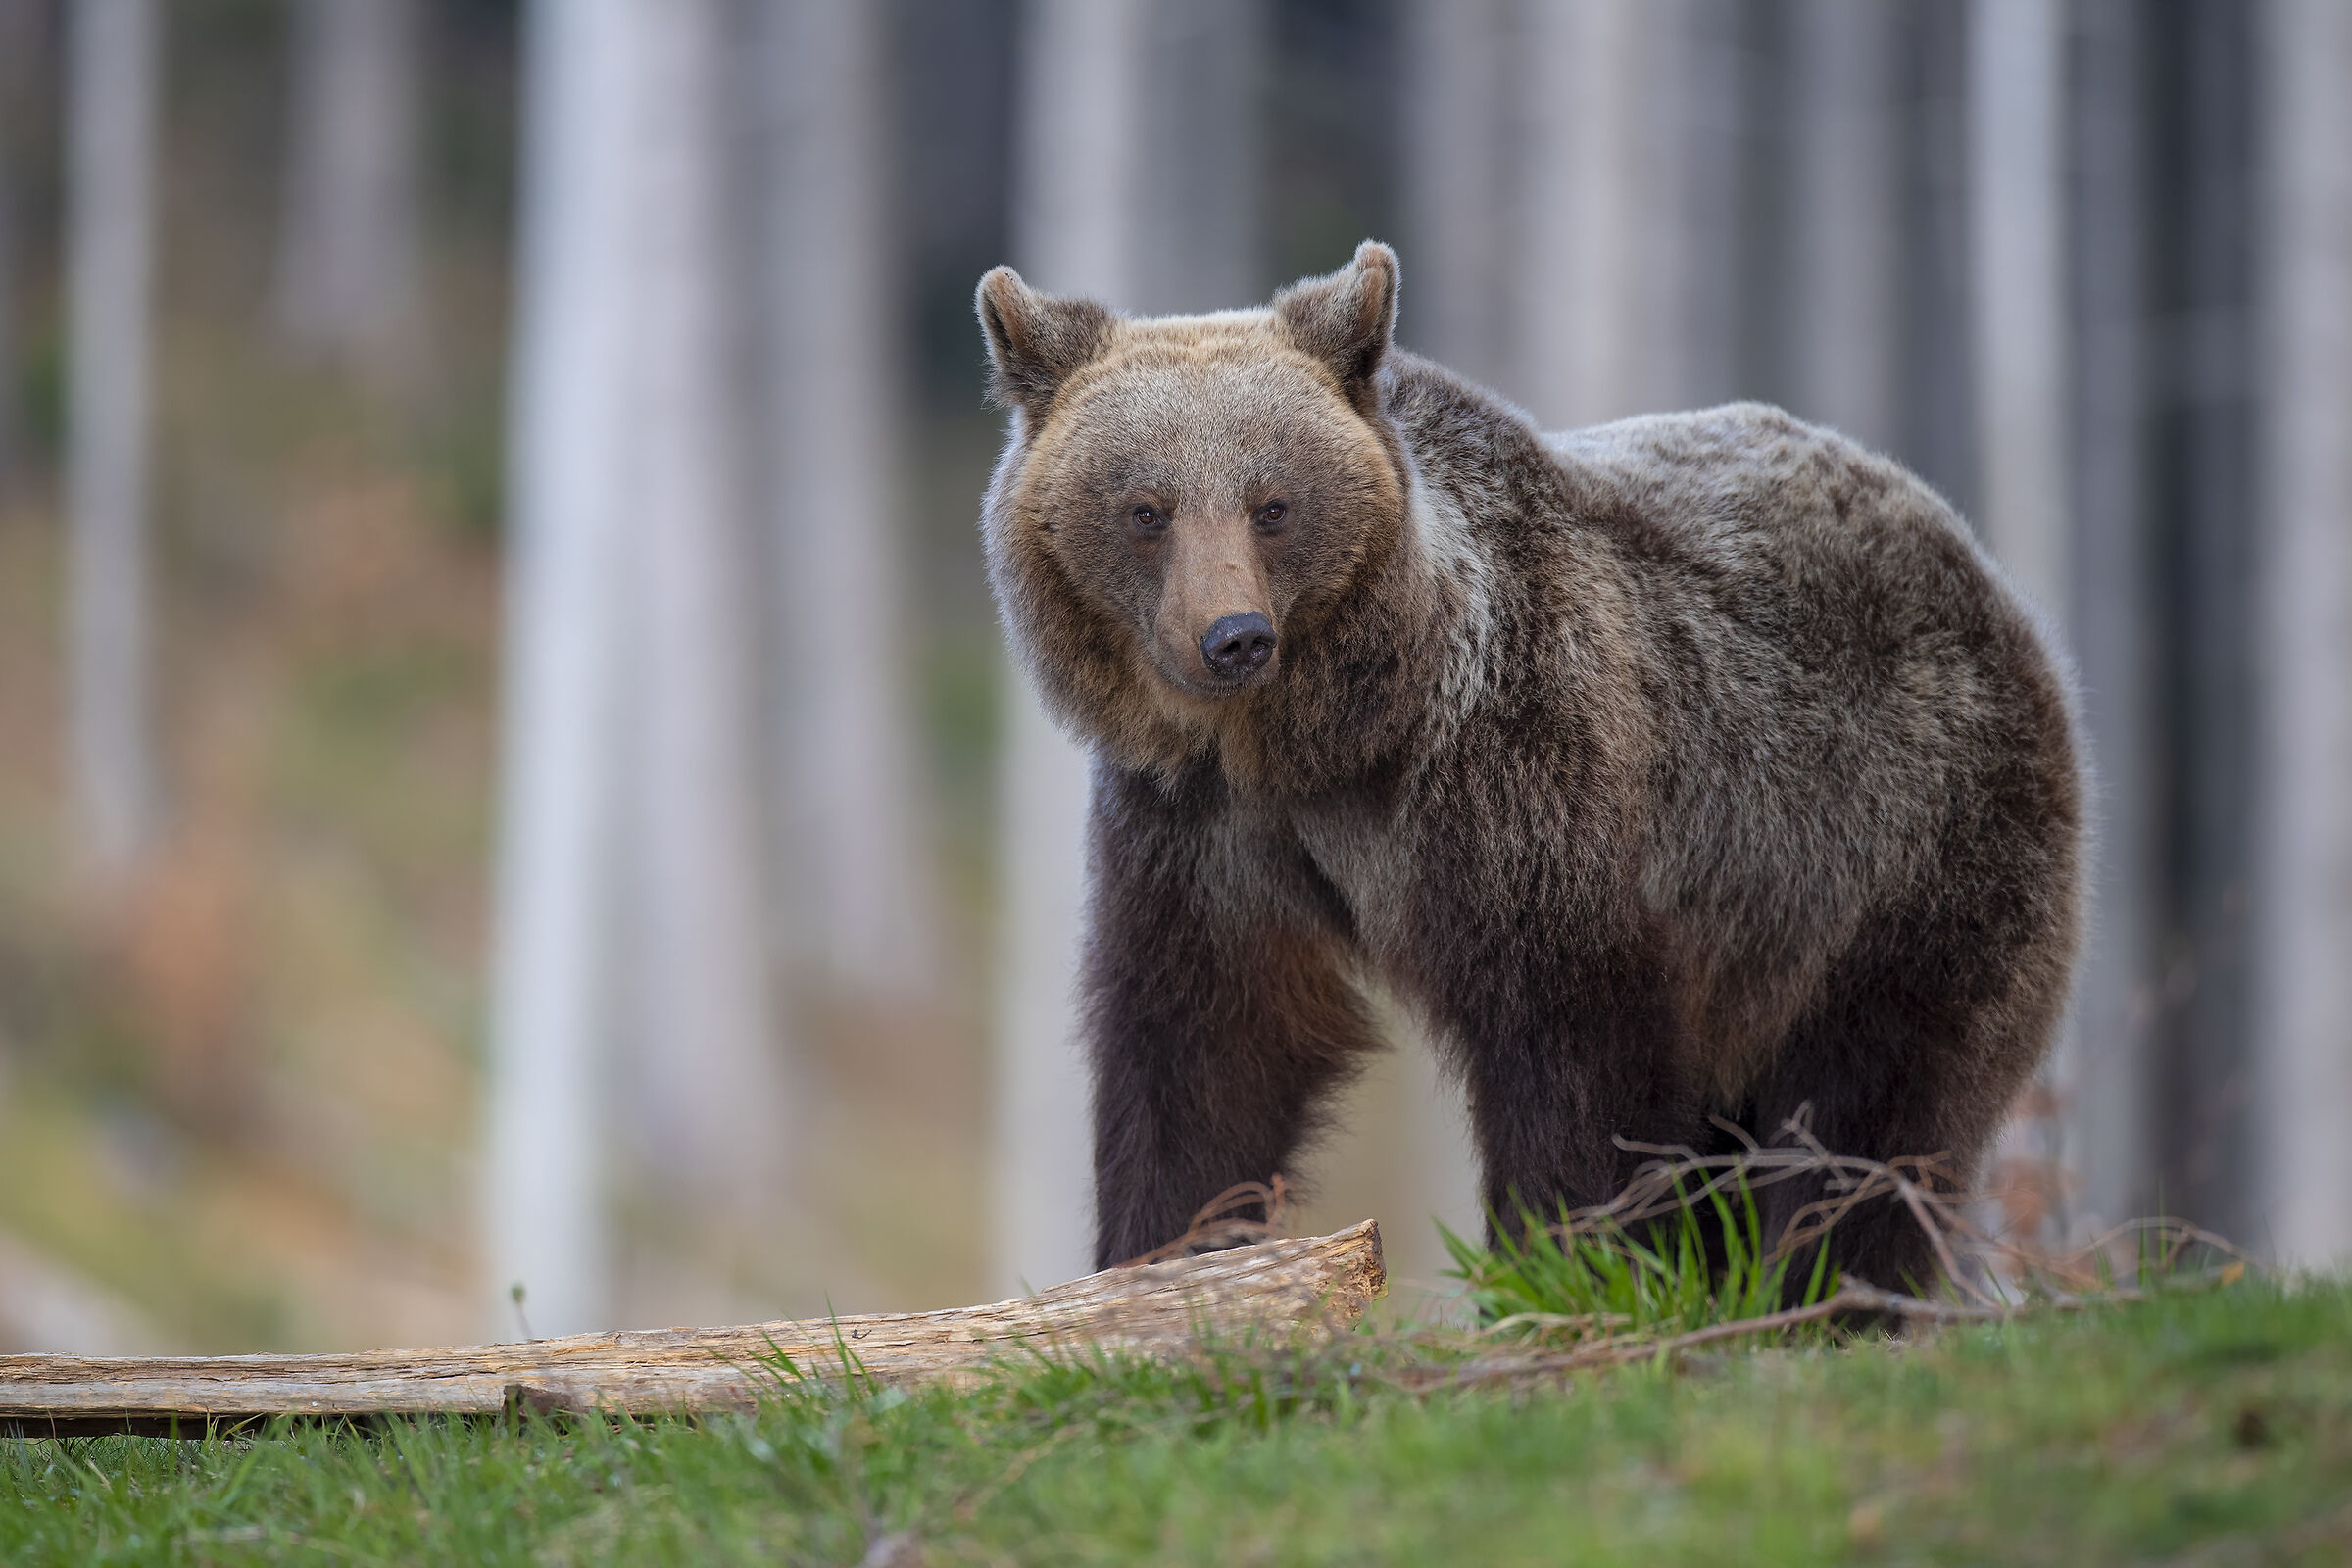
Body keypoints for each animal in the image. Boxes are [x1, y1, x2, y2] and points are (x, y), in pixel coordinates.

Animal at [974, 240, 2084, 1296]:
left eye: (1273, 504)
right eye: (1146, 508)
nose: (1233, 637)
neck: (1323, 741)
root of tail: (1975, 559)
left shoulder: (1523, 778)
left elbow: (1574, 1056)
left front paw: (1563, 1265)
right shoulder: (1198, 828)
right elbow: (1203, 1048)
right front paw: (1162, 1258)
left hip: (1893, 843)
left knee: (1870, 1110)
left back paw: (1833, 1291)